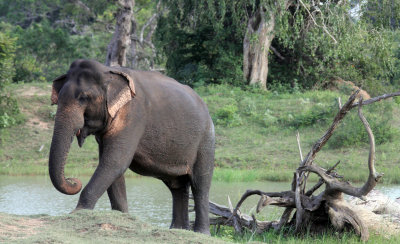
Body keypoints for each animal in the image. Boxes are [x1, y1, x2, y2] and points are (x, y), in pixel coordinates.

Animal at [49, 59, 216, 234]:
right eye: (58, 99)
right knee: (177, 186)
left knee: (200, 184)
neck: (107, 71)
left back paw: (201, 233)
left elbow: (115, 162)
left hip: (206, 140)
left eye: (84, 97)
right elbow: (112, 166)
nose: (74, 181)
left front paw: (78, 212)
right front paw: (123, 217)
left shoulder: (134, 116)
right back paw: (178, 230)